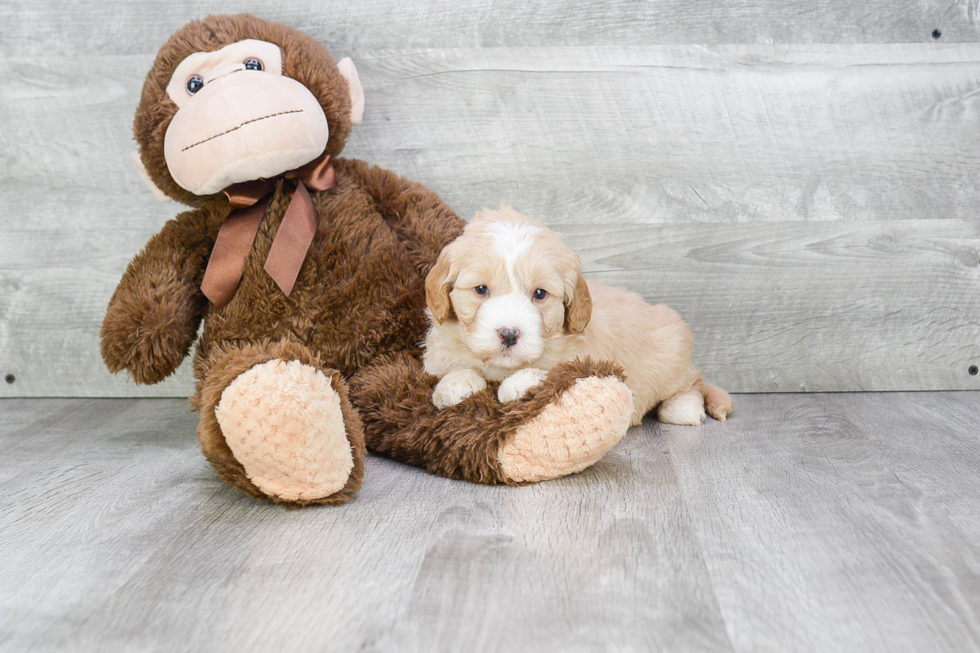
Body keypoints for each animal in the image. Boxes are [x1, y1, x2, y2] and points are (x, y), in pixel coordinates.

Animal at [424, 206, 732, 426]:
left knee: (693, 381)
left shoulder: (586, 360)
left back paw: (683, 407)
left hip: (672, 354)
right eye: (481, 289)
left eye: (539, 293)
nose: (509, 334)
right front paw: (455, 384)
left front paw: (517, 384)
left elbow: (553, 371)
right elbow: (456, 367)